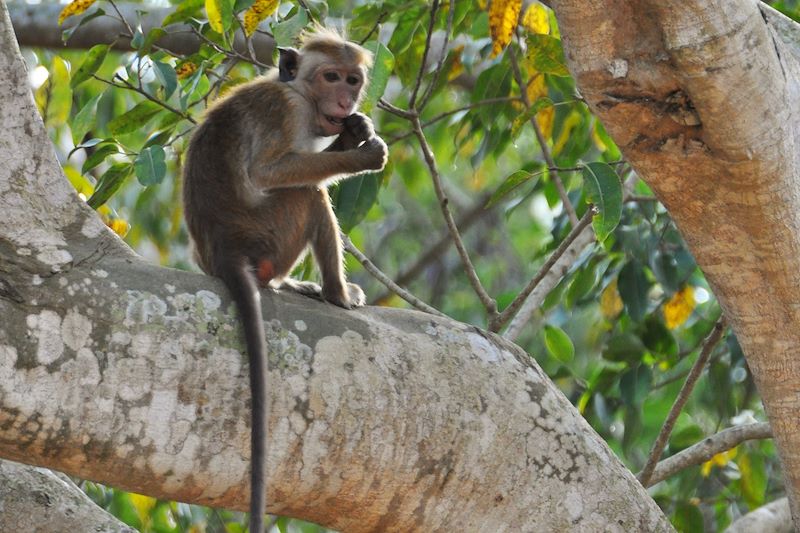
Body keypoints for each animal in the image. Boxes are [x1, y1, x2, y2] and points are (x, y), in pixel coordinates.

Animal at [184, 30, 390, 532]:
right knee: (308, 193)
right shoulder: (286, 109)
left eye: (353, 80)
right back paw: (337, 294)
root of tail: (226, 249)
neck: (298, 91)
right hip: (271, 232)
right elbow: (270, 171)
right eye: (330, 76)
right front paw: (362, 152)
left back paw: (290, 286)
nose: (345, 98)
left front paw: (354, 131)